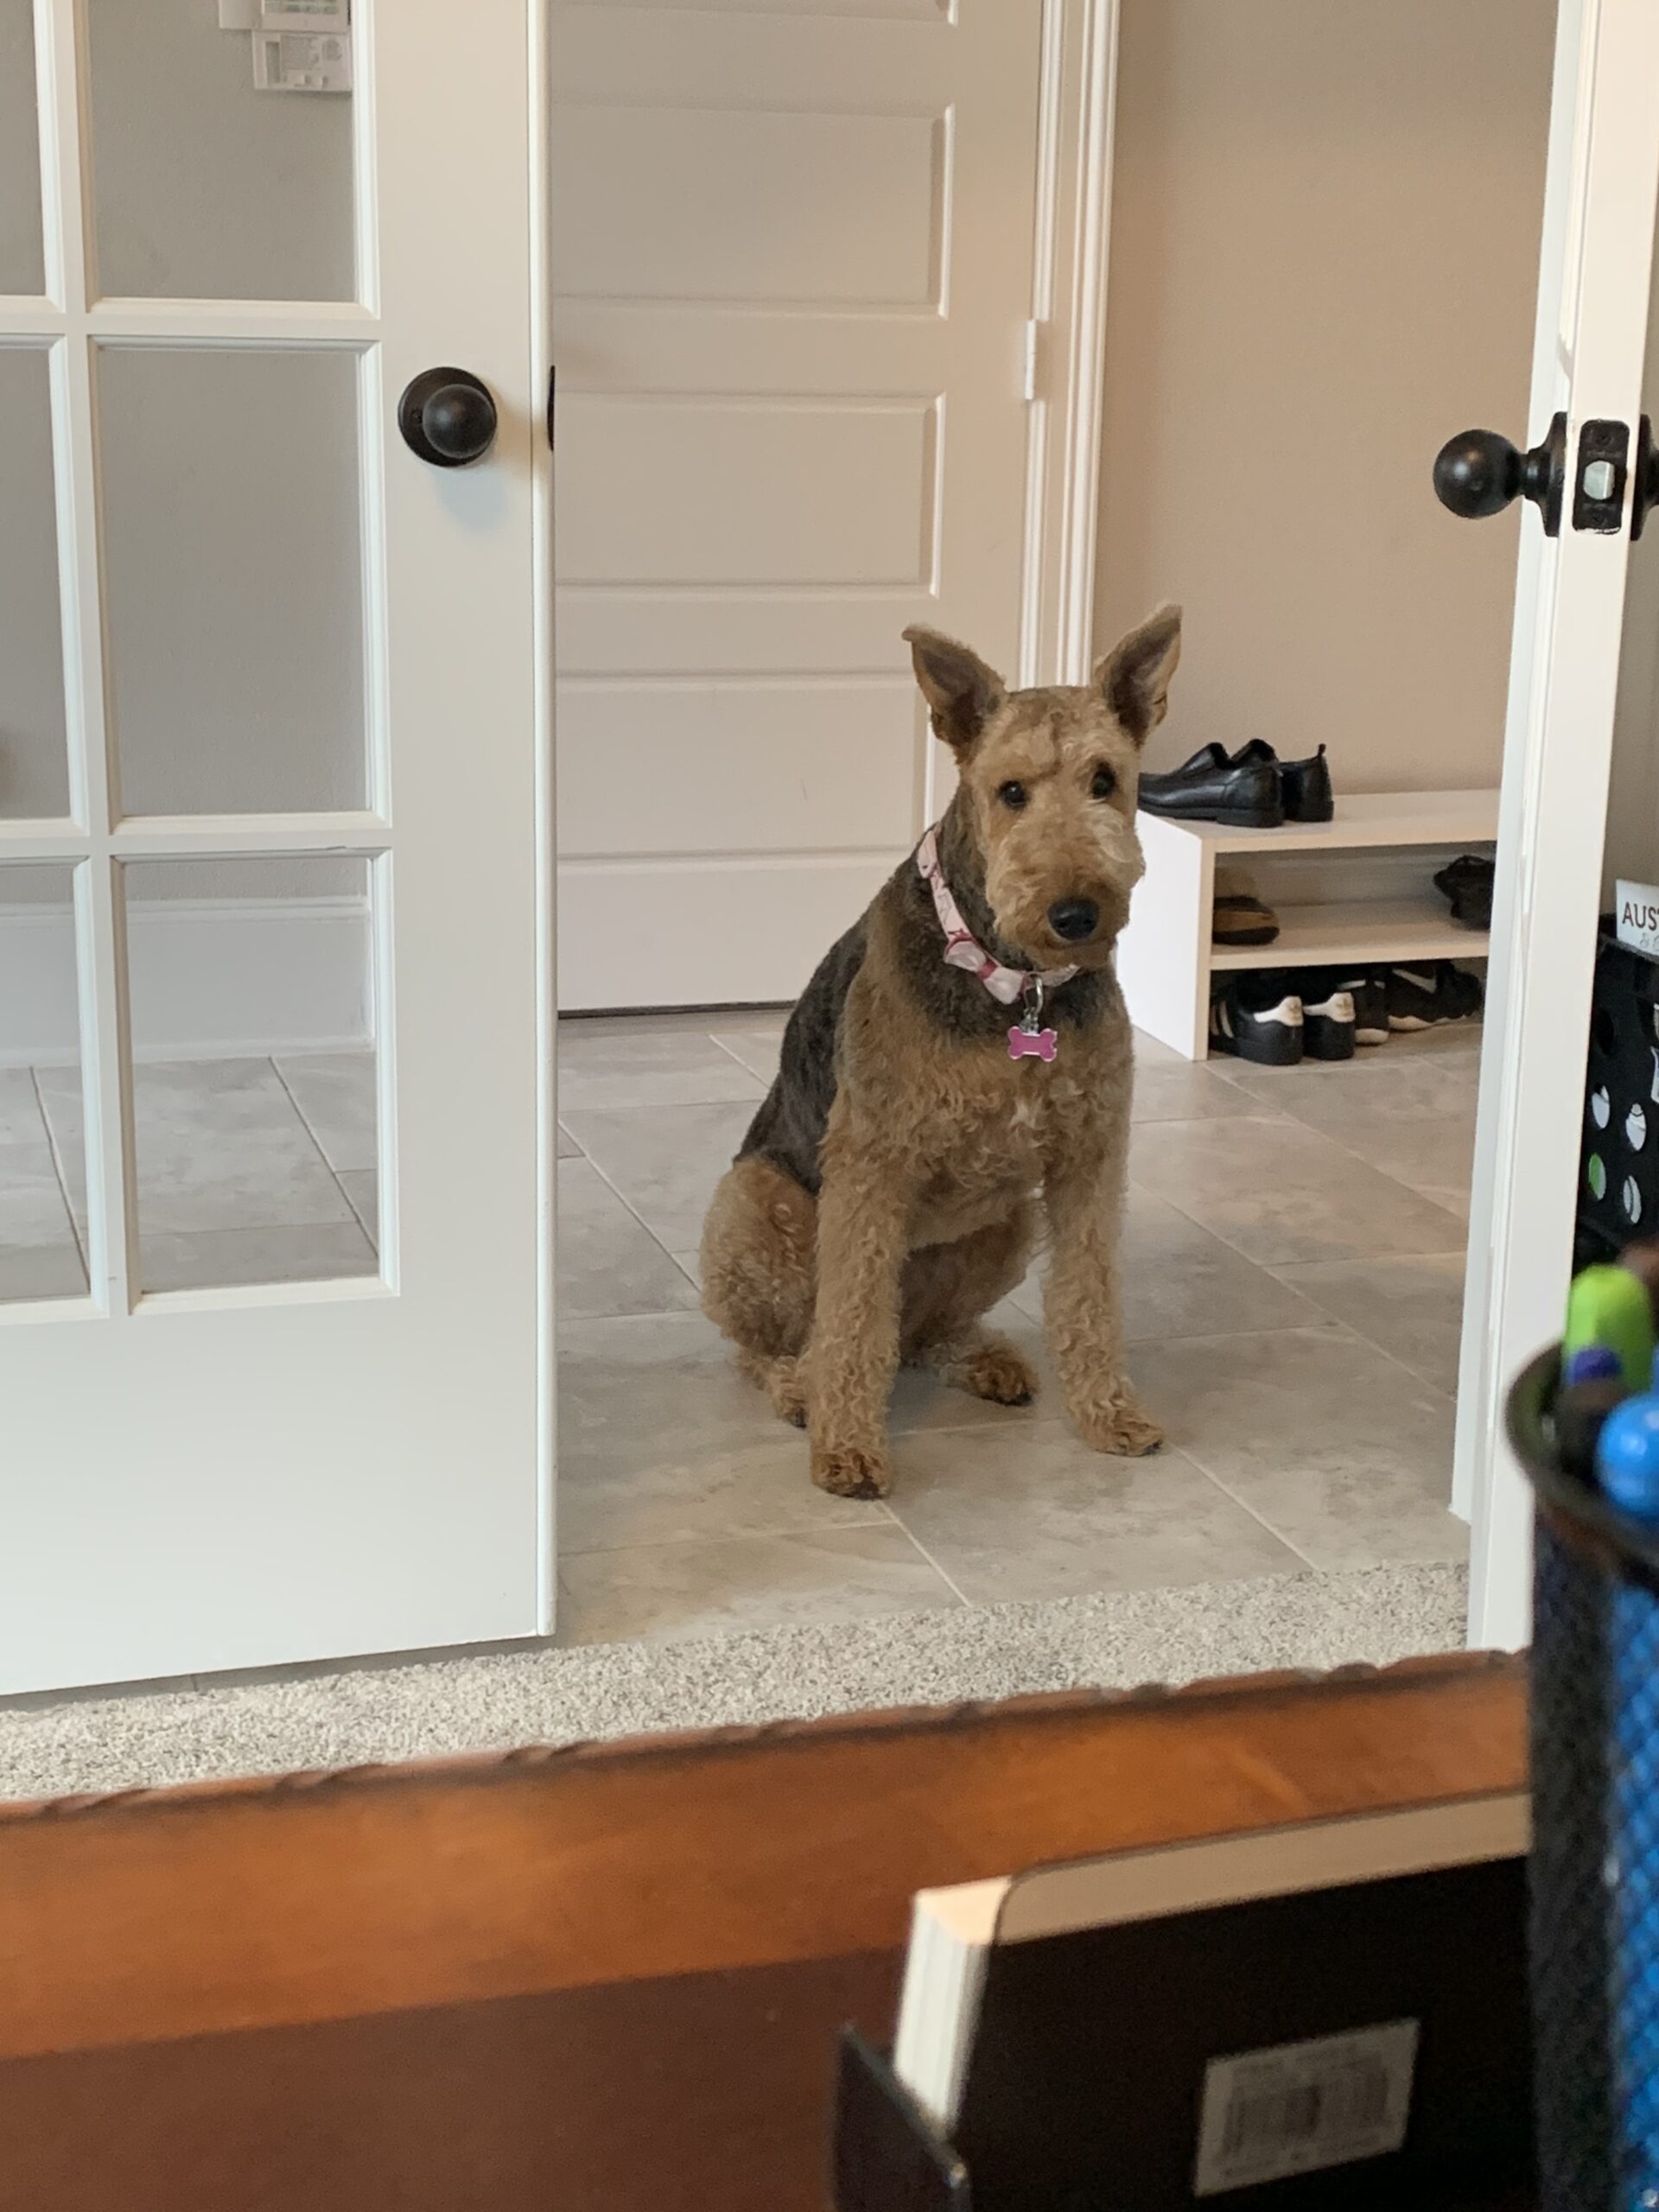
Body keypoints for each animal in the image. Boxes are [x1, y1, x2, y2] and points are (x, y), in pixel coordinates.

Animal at [699, 605, 1182, 1499]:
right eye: (1010, 791)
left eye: (1106, 779)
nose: (1074, 914)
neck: (1016, 985)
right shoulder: (872, 1161)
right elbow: (853, 1321)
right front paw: (848, 1452)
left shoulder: (1090, 1154)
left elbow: (1090, 1294)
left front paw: (1110, 1414)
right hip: (759, 1206)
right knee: (783, 1343)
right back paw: (800, 1389)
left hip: (1004, 1226)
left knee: (919, 1336)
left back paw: (985, 1361)